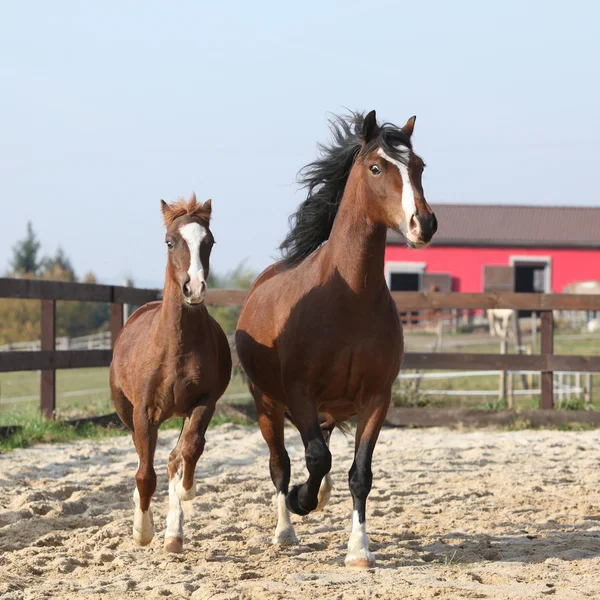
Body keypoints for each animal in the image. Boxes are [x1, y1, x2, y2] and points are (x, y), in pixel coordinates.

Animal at [110, 193, 232, 552]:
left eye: (209, 242)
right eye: (170, 242)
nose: (194, 288)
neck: (175, 347)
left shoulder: (204, 402)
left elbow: (188, 451)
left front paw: (185, 492)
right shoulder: (144, 412)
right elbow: (144, 474)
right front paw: (141, 531)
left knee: (175, 459)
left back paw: (174, 535)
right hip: (126, 412)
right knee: (145, 461)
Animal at [234, 112, 436, 568]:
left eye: (418, 167)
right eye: (376, 168)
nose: (424, 224)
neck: (349, 298)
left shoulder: (376, 397)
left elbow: (359, 473)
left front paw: (359, 550)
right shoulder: (300, 392)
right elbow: (313, 458)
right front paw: (300, 501)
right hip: (267, 404)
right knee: (281, 463)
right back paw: (286, 529)